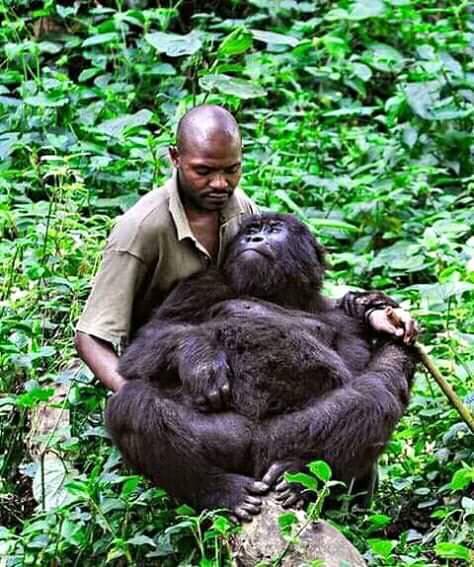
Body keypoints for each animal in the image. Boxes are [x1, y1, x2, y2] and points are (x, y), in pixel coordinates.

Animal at [106, 212, 414, 520]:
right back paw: (217, 488)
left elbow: (356, 371)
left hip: (286, 441)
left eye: (274, 230)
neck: (281, 294)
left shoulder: (341, 320)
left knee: (373, 397)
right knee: (133, 404)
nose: (254, 238)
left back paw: (300, 475)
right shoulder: (201, 284)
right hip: (228, 442)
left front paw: (375, 308)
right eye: (250, 230)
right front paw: (199, 358)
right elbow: (151, 339)